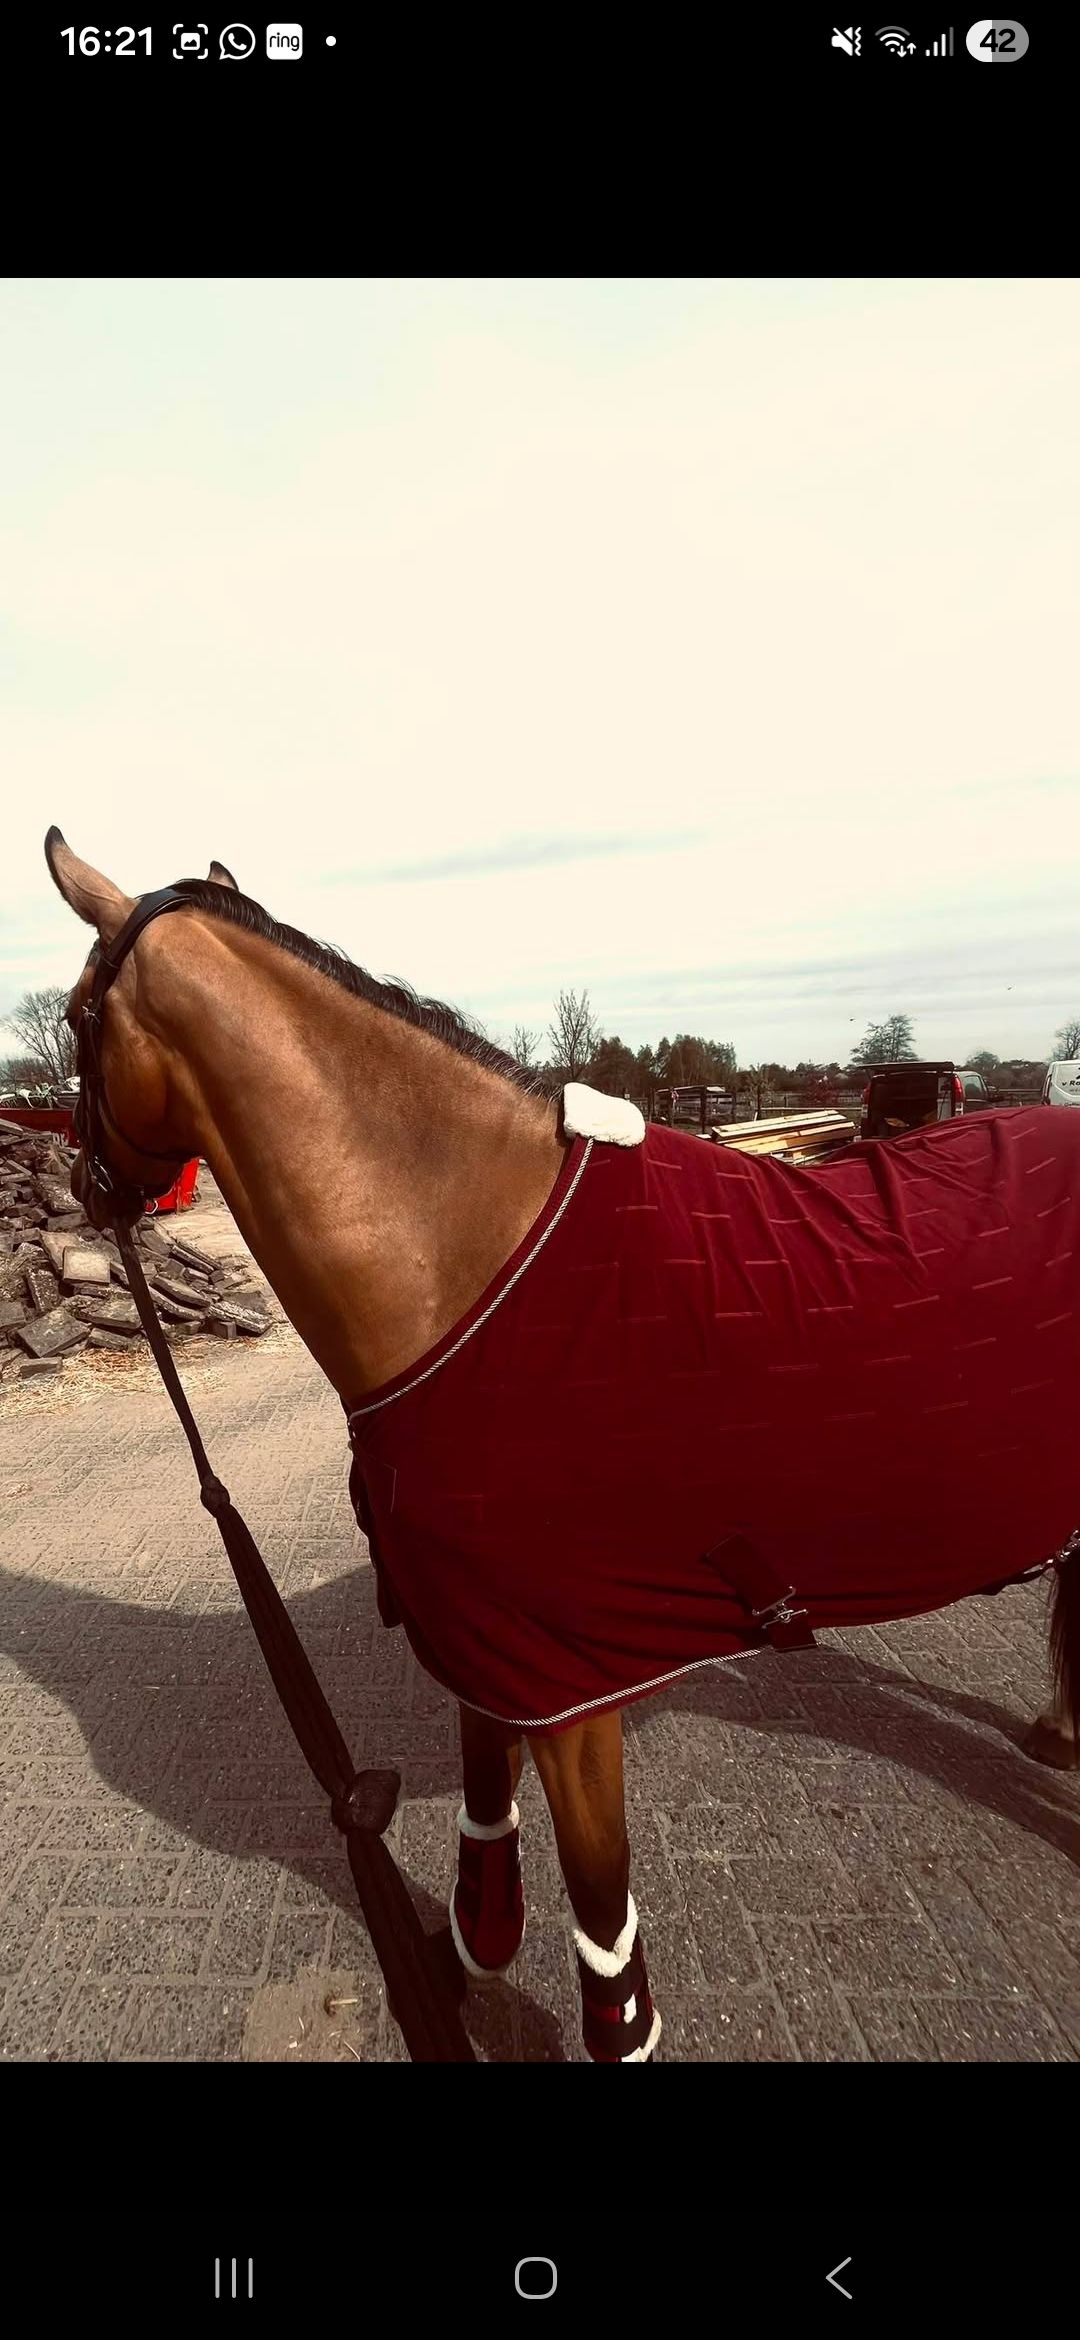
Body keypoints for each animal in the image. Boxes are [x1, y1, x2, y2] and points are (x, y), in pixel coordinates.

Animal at [46, 829, 1080, 2063]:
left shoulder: (573, 1686)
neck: (464, 1258)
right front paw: (470, 1955)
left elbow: (601, 1924)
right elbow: (487, 1829)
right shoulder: (491, 1648)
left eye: (73, 1015)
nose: (86, 1188)